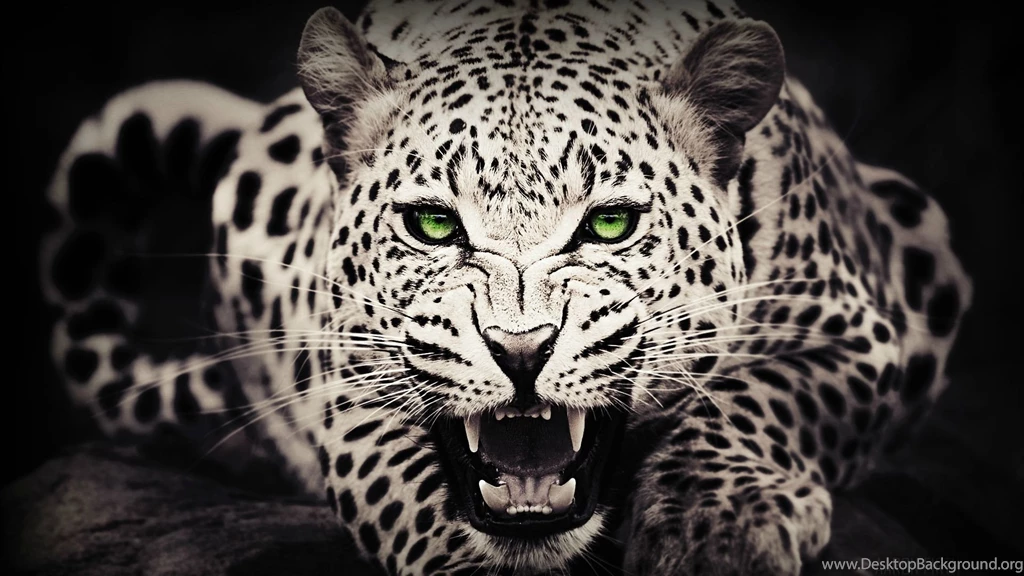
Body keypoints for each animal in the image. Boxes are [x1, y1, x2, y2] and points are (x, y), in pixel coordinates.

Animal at [39, 0, 973, 574]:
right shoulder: (347, 379)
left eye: (609, 224)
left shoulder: (855, 330)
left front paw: (720, 527)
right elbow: (404, 488)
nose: (520, 351)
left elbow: (761, 398)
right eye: (432, 224)